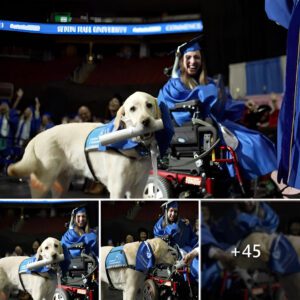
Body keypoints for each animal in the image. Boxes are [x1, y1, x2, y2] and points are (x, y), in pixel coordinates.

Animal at [7, 91, 162, 199]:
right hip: (43, 182)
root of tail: (38, 136)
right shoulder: (117, 189)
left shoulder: (137, 189)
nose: (145, 121)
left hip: (61, 184)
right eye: (132, 109)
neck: (134, 148)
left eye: (149, 105)